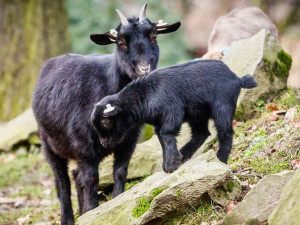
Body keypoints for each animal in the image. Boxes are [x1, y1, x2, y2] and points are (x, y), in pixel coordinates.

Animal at [31, 3, 180, 225]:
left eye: (154, 36)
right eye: (121, 42)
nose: (144, 69)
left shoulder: (129, 141)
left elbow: (120, 172)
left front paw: (116, 202)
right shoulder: (84, 146)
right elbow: (91, 179)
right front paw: (93, 210)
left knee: (75, 175)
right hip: (48, 143)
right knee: (62, 181)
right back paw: (69, 218)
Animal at [92, 59, 258, 172]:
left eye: (106, 121)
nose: (104, 143)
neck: (146, 94)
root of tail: (238, 79)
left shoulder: (173, 111)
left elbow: (166, 134)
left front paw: (171, 165)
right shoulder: (158, 122)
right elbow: (161, 137)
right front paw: (168, 164)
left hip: (223, 106)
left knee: (225, 133)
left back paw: (220, 159)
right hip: (197, 114)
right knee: (201, 134)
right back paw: (184, 155)